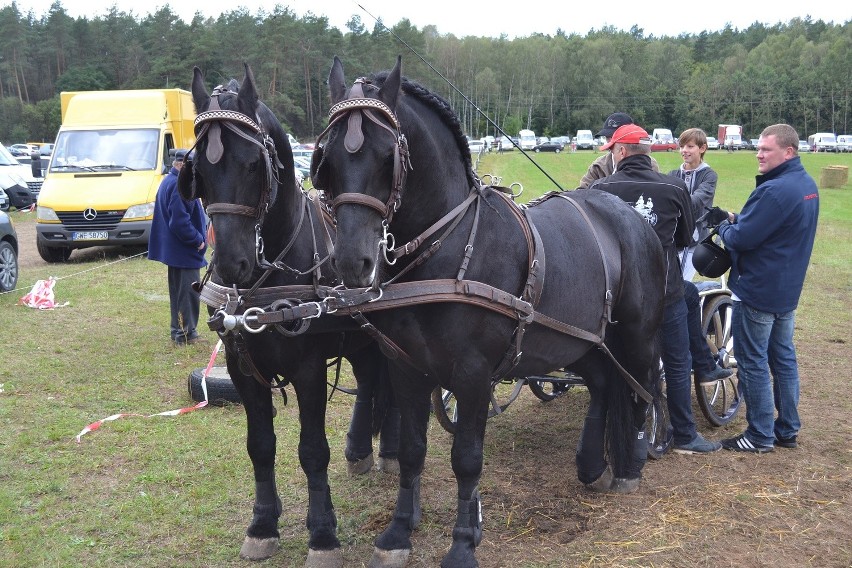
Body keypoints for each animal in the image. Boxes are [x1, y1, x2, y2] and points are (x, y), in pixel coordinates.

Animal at [178, 64, 402, 564]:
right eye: (198, 170)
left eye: (253, 164)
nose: (232, 264)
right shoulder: (242, 369)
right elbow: (260, 446)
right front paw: (263, 524)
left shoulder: (308, 369)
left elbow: (312, 450)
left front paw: (322, 533)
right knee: (370, 380)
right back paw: (362, 447)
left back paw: (388, 450)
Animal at [310, 54, 668, 568]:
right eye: (327, 159)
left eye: (386, 156)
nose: (352, 262)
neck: (450, 246)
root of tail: (631, 216)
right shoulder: (406, 366)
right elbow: (413, 450)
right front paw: (398, 532)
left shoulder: (474, 373)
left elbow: (466, 459)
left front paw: (462, 543)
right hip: (578, 341)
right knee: (602, 383)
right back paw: (592, 464)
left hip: (637, 335)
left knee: (642, 387)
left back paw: (632, 462)